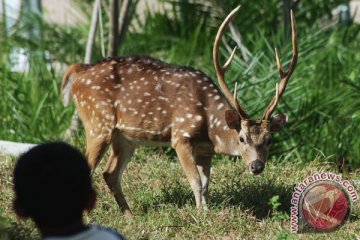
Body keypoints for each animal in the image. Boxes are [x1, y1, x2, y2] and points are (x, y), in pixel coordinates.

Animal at [62, 5, 298, 217]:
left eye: (269, 139)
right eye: (241, 138)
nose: (257, 166)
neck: (210, 126)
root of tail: (78, 72)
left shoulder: (205, 151)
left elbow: (206, 184)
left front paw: (205, 209)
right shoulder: (180, 136)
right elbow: (195, 181)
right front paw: (202, 215)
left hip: (125, 138)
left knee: (110, 173)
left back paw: (129, 215)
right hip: (97, 122)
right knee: (89, 168)